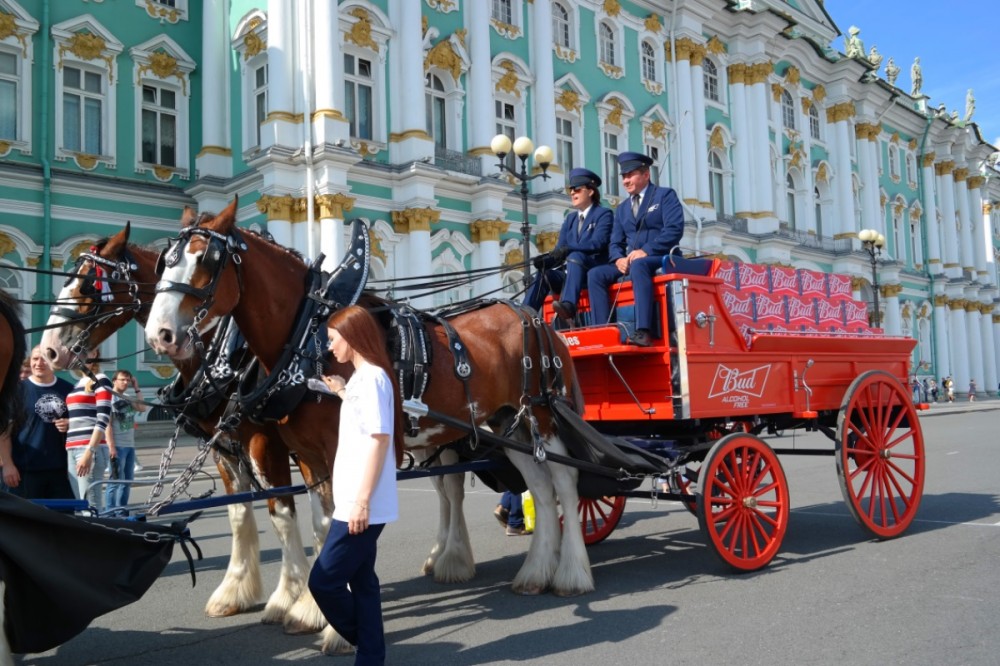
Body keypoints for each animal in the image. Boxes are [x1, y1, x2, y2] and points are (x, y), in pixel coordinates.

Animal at [37, 230, 332, 640]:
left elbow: (282, 513)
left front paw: (293, 598)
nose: (47, 350)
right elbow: (239, 513)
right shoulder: (223, 446)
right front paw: (235, 591)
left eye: (87, 285)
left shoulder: (265, 443)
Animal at [146, 197, 596, 600]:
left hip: (543, 418)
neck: (308, 338)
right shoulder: (291, 452)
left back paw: (571, 573)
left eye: (206, 260)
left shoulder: (286, 445)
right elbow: (302, 519)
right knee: (535, 486)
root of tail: (533, 317)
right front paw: (298, 604)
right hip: (509, 423)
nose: (159, 334)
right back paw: (533, 572)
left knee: (565, 482)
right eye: (164, 262)